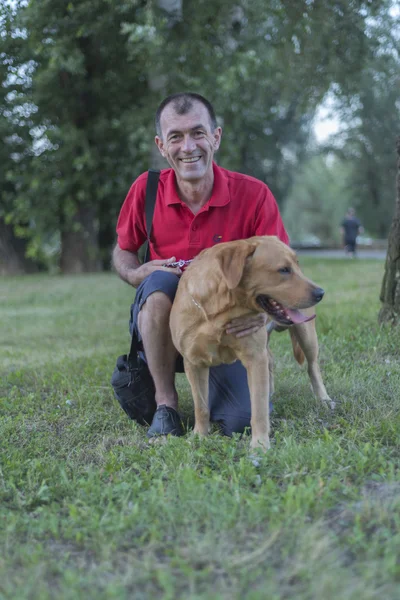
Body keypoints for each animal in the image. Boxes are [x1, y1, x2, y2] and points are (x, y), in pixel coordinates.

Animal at [170, 234, 330, 450]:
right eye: (283, 270)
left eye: (297, 265)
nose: (321, 293)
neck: (219, 312)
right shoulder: (194, 362)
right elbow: (201, 406)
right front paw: (199, 436)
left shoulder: (255, 358)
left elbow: (258, 409)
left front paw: (260, 444)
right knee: (271, 361)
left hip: (306, 334)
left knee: (313, 367)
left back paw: (323, 398)